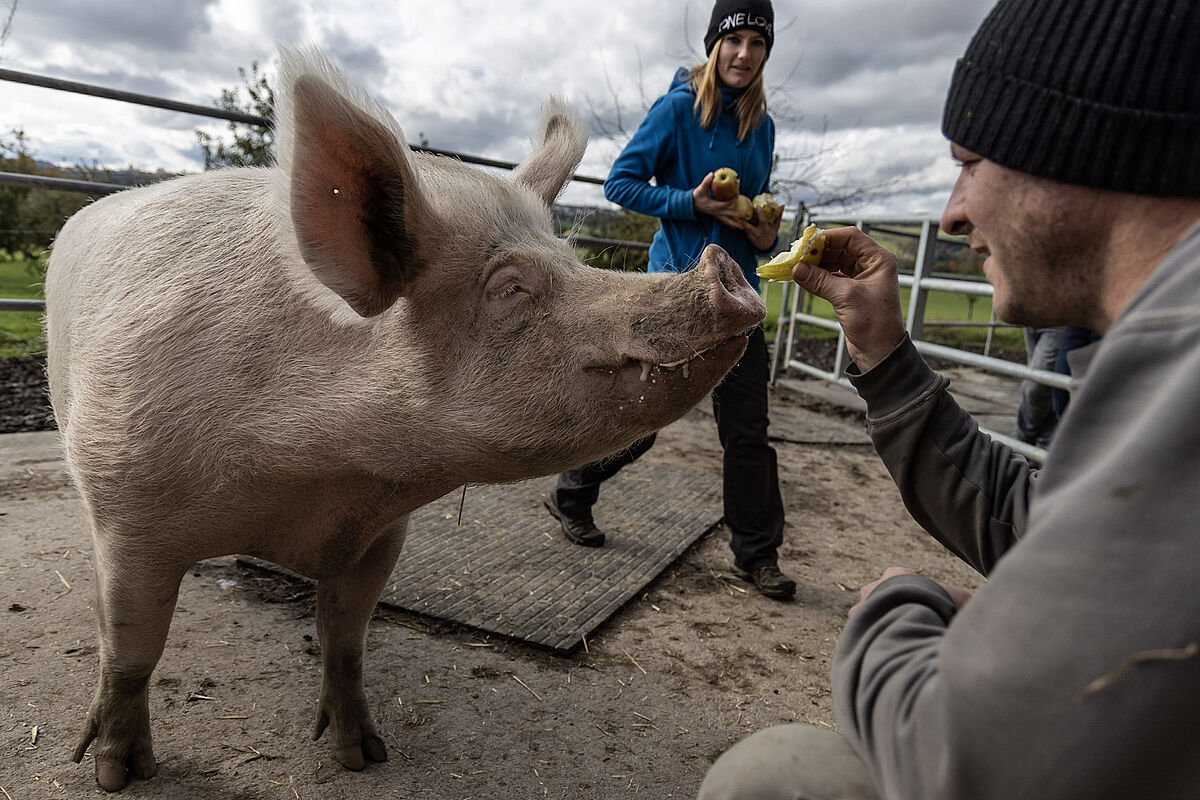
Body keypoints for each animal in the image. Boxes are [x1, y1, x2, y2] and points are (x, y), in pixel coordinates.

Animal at [46, 47, 763, 791]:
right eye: (510, 288)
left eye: (571, 259)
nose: (725, 269)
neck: (313, 486)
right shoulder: (129, 509)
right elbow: (131, 652)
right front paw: (118, 775)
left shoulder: (380, 532)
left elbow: (347, 640)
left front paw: (364, 756)